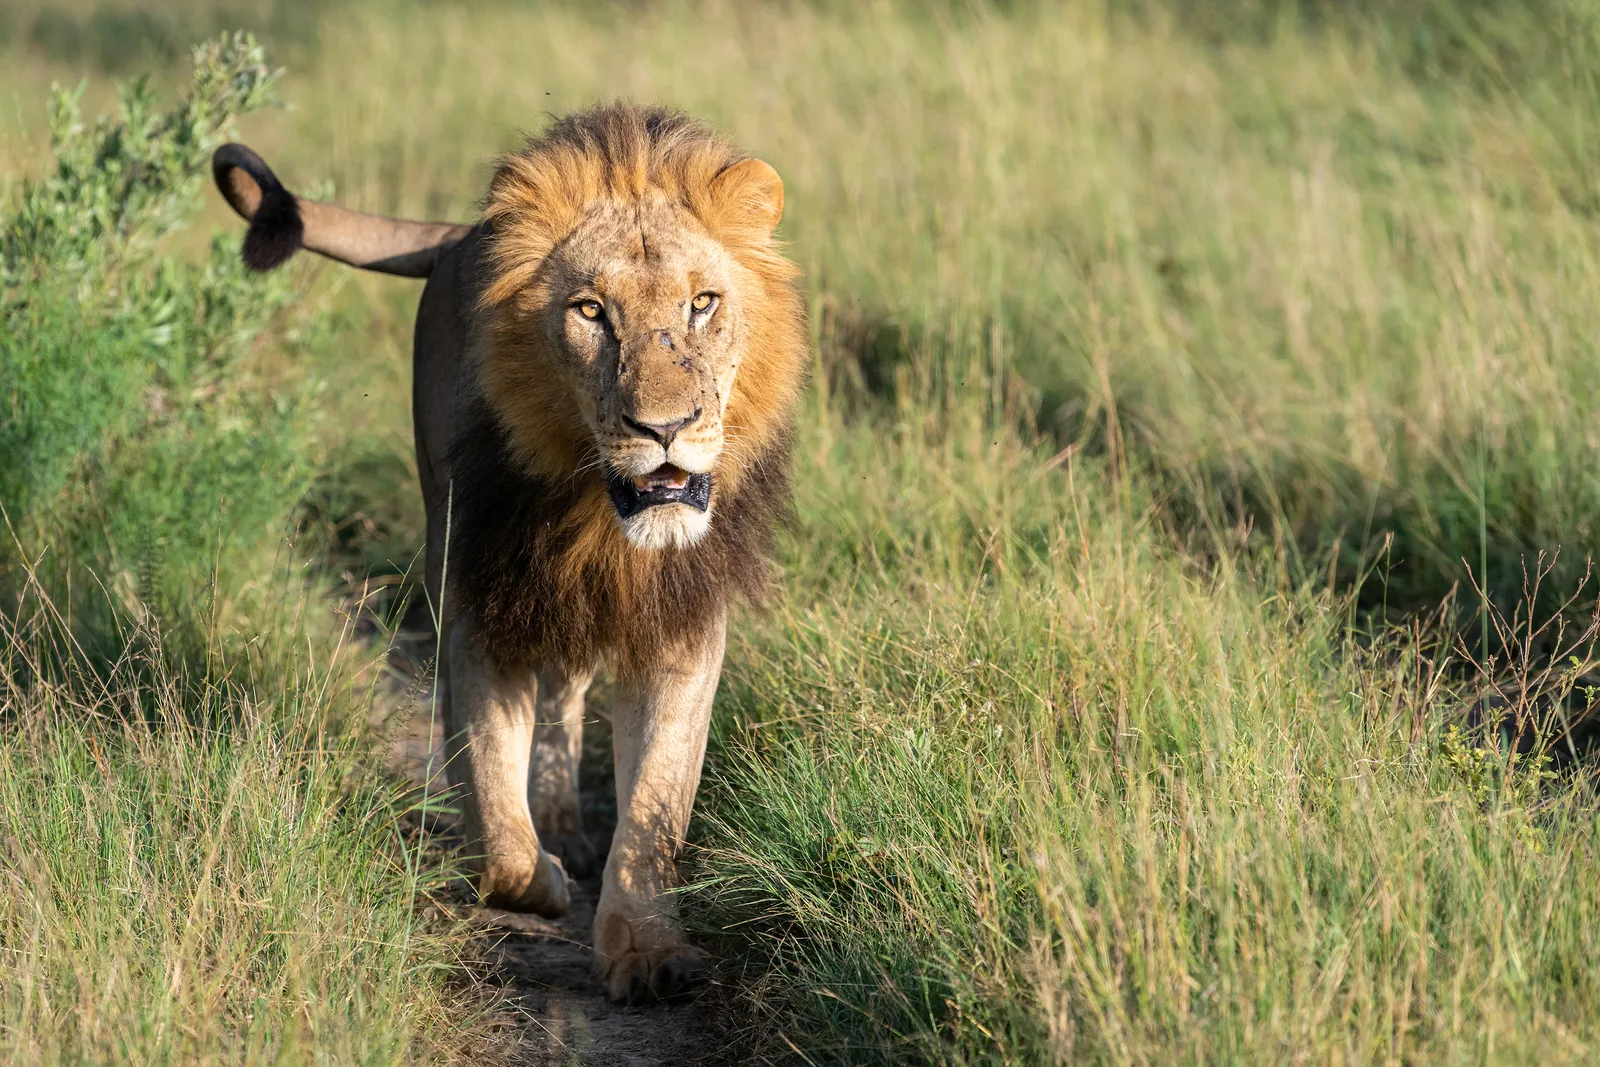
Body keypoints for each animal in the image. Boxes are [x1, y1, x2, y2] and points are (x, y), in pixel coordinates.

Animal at [212, 103, 807, 1003]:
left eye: (703, 303)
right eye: (591, 312)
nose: (664, 428)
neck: (597, 514)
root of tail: (461, 235)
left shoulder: (680, 625)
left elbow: (658, 804)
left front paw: (646, 948)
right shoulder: (478, 606)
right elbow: (495, 811)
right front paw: (538, 877)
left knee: (569, 688)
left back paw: (565, 815)